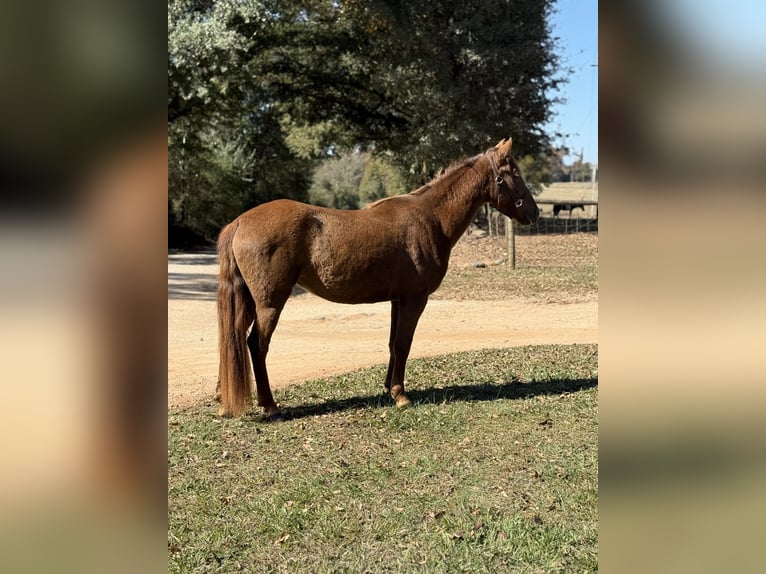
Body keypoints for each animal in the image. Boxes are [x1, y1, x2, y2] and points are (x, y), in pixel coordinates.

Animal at [216, 137, 539, 419]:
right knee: (256, 345)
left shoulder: (398, 300)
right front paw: (400, 395)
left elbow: (393, 343)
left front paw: (389, 388)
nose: (534, 213)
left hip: (248, 302)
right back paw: (270, 406)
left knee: (232, 338)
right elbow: (403, 344)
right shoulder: (414, 299)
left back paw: (223, 398)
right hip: (269, 304)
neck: (431, 217)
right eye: (514, 174)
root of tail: (240, 222)